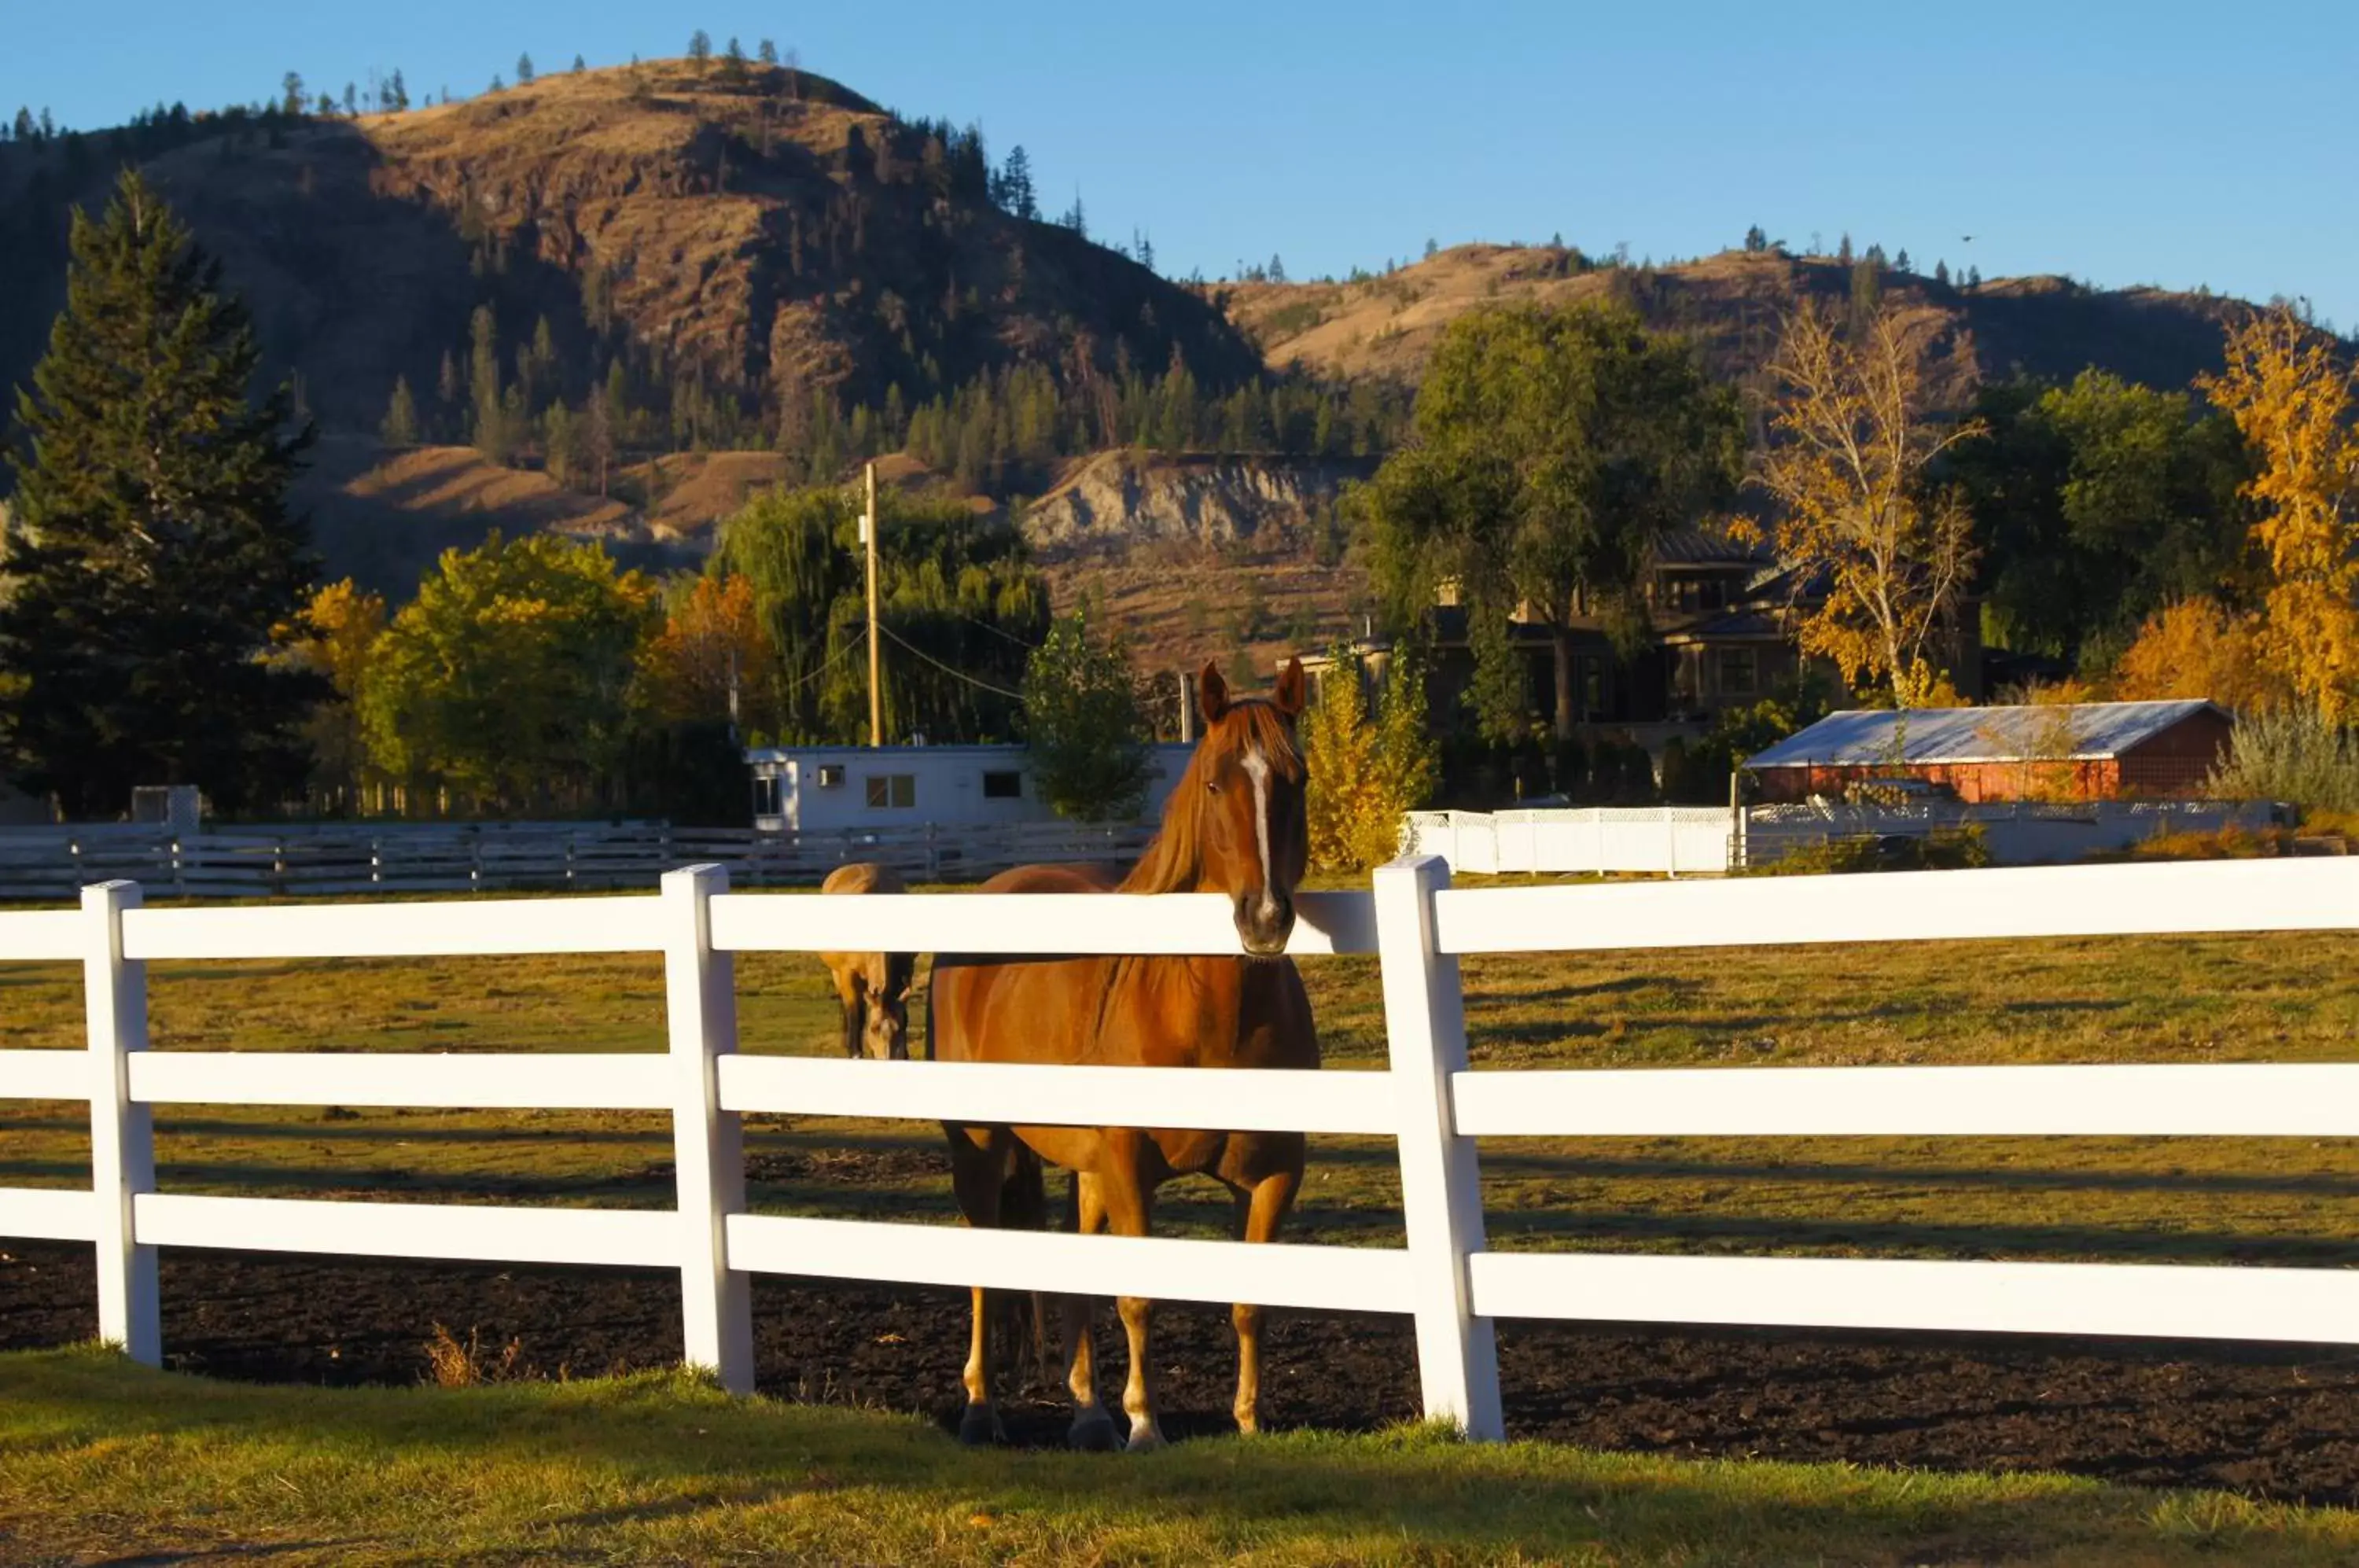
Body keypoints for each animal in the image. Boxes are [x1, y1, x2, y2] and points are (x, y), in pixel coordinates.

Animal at [816, 863, 915, 1056]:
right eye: (874, 1029)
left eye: (901, 1028)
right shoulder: (848, 975)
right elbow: (855, 1014)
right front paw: (855, 1052)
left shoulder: (906, 970)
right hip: (836, 973)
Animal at [925, 655, 1330, 1452]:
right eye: (1215, 783)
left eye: (1296, 779)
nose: (1265, 920)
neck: (1209, 1015)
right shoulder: (1130, 1167)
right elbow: (1139, 1297)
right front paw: (1145, 1423)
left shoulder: (1273, 1174)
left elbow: (1251, 1302)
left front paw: (1248, 1420)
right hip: (981, 1148)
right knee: (986, 1267)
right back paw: (983, 1409)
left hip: (1086, 1167)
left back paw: (1088, 1415)